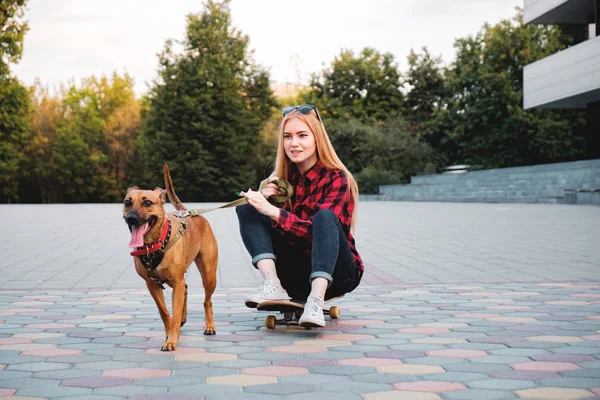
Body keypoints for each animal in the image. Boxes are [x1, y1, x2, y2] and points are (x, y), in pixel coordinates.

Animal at [122, 162, 218, 350]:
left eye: (148, 202)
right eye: (127, 202)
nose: (131, 218)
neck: (152, 245)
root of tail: (188, 212)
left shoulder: (176, 282)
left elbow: (175, 311)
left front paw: (172, 340)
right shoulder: (152, 285)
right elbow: (165, 312)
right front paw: (169, 334)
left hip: (209, 275)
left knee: (207, 301)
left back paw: (209, 326)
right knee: (186, 290)